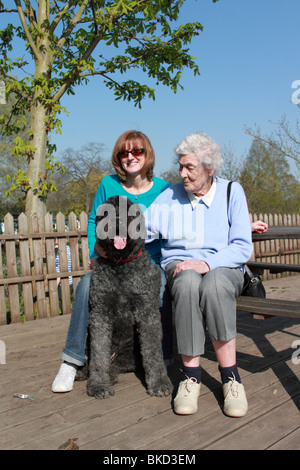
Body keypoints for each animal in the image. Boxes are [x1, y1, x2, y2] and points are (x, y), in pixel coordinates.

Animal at [85, 196, 172, 398]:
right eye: (106, 212)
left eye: (129, 211)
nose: (118, 221)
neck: (121, 265)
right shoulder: (100, 314)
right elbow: (98, 352)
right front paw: (98, 385)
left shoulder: (148, 312)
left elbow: (153, 352)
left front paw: (159, 382)